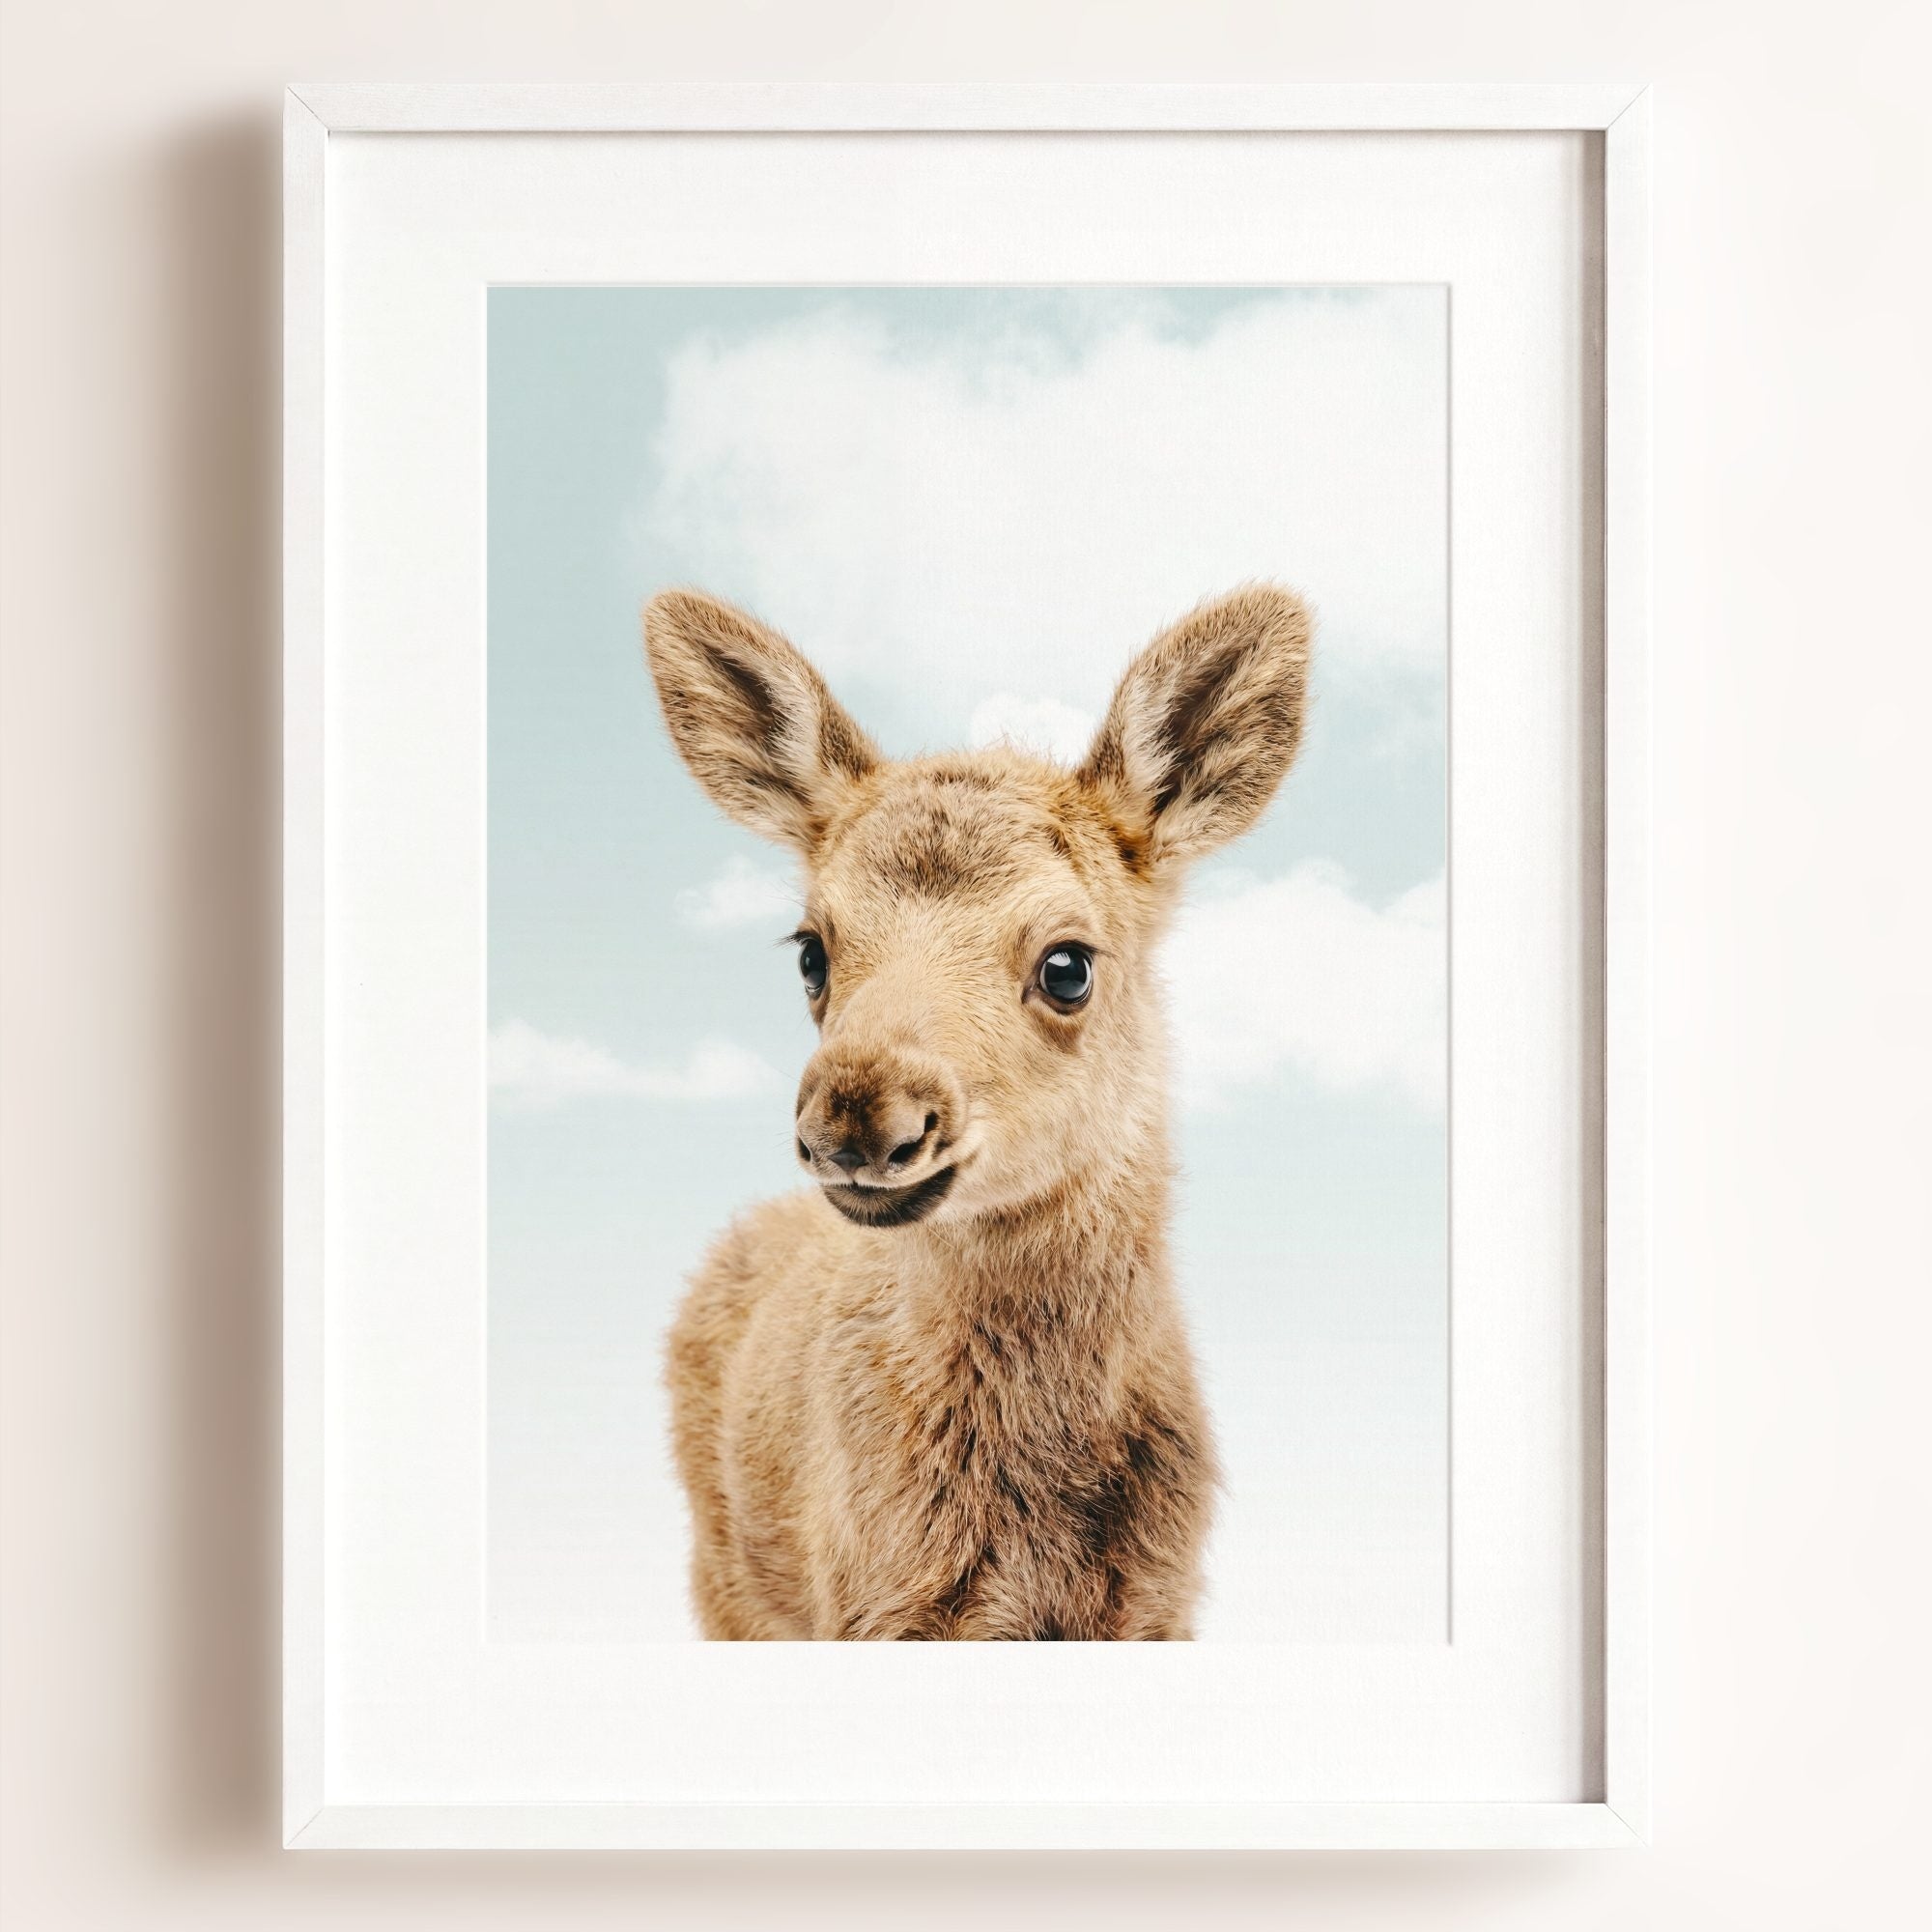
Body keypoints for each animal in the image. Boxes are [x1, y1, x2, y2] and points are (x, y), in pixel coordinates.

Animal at [643, 583, 1312, 1639]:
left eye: (1068, 964)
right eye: (811, 951)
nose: (858, 1117)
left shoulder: (1158, 1601)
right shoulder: (872, 1601)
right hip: (725, 1577)